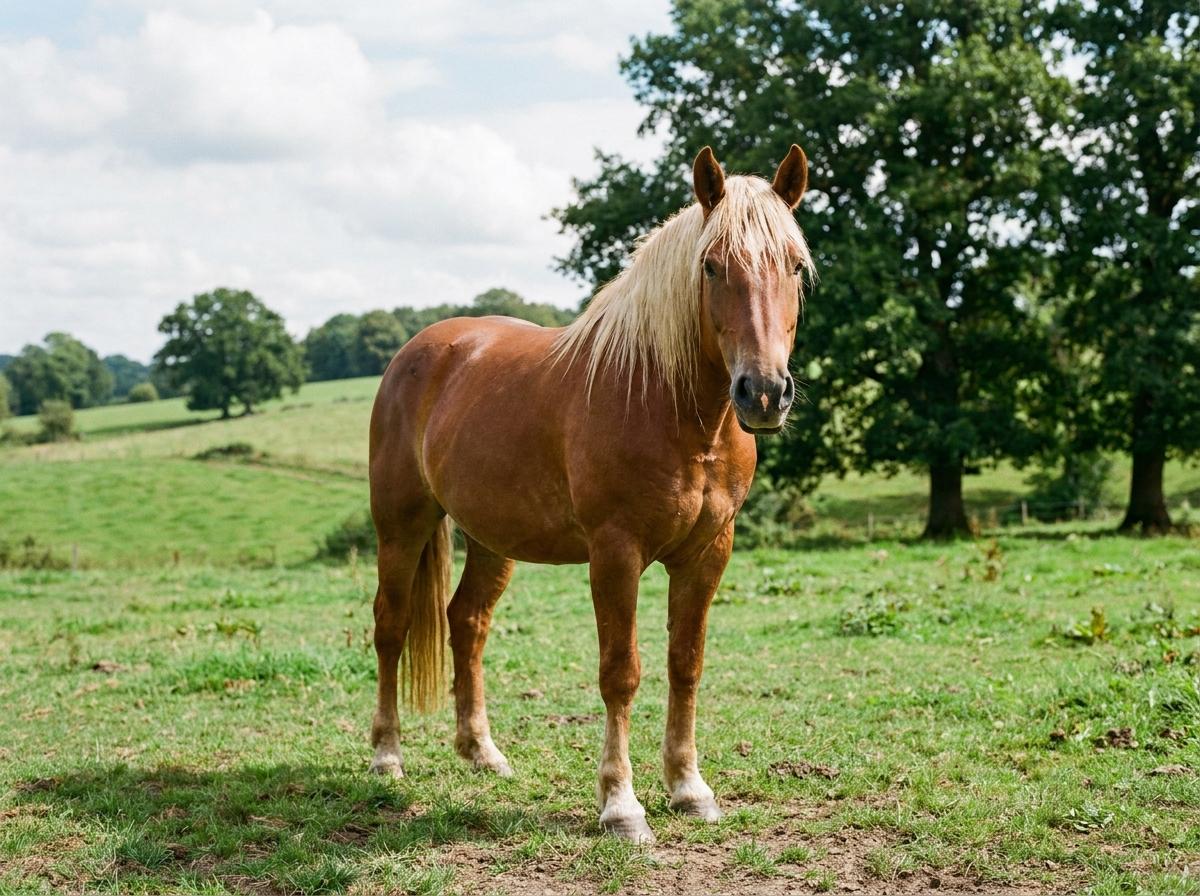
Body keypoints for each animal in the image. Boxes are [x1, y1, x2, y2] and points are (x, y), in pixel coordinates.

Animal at [366, 145, 813, 844]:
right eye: (712, 265)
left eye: (795, 266)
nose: (763, 393)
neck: (669, 404)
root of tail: (420, 349)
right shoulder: (616, 552)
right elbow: (620, 672)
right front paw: (622, 806)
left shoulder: (708, 553)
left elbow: (685, 663)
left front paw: (689, 788)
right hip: (401, 524)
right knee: (391, 625)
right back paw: (387, 756)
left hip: (492, 539)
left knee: (466, 622)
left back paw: (483, 752)